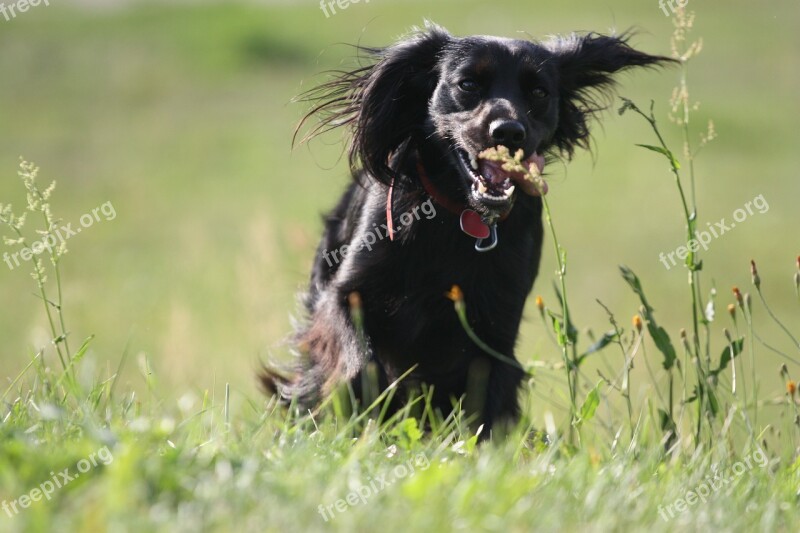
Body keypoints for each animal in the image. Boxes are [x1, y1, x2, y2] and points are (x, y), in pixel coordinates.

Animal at [260, 23, 668, 432]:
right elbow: (358, 358)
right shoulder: (349, 294)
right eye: (468, 84)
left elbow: (486, 403)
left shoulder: (496, 329)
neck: (457, 215)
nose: (508, 132)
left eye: (539, 92)